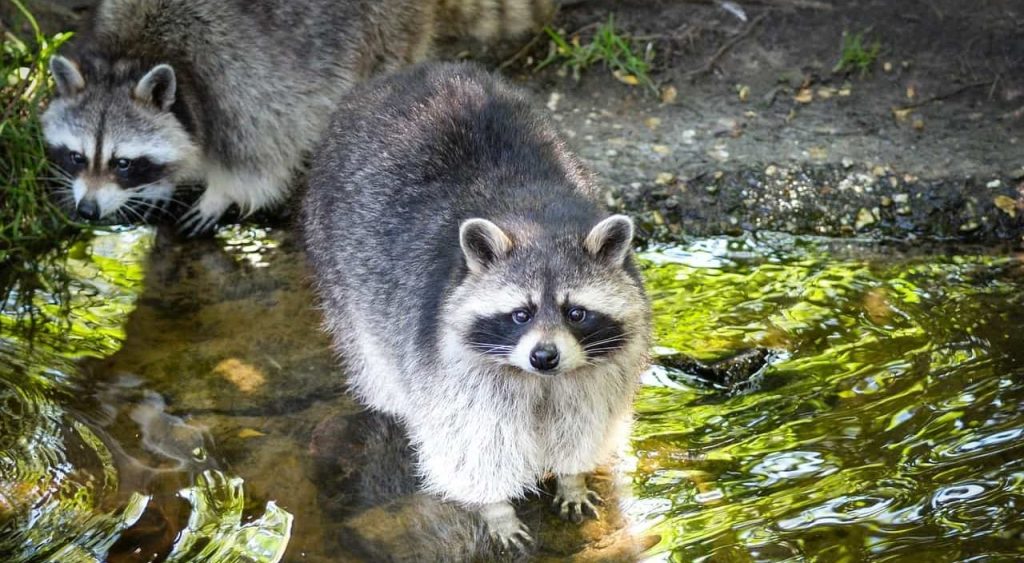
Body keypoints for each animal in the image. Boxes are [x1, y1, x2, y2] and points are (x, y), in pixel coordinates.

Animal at [41, 0, 552, 232]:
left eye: (123, 162)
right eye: (75, 157)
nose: (86, 211)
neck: (133, 55)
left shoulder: (235, 81)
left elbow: (258, 160)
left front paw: (218, 194)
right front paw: (165, 183)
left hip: (384, 30)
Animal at [299, 62, 651, 552]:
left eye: (575, 312)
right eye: (521, 313)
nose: (545, 357)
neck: (537, 220)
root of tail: (408, 73)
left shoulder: (602, 371)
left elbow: (586, 421)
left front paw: (572, 477)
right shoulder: (448, 364)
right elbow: (473, 444)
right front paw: (496, 509)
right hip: (335, 259)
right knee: (376, 363)